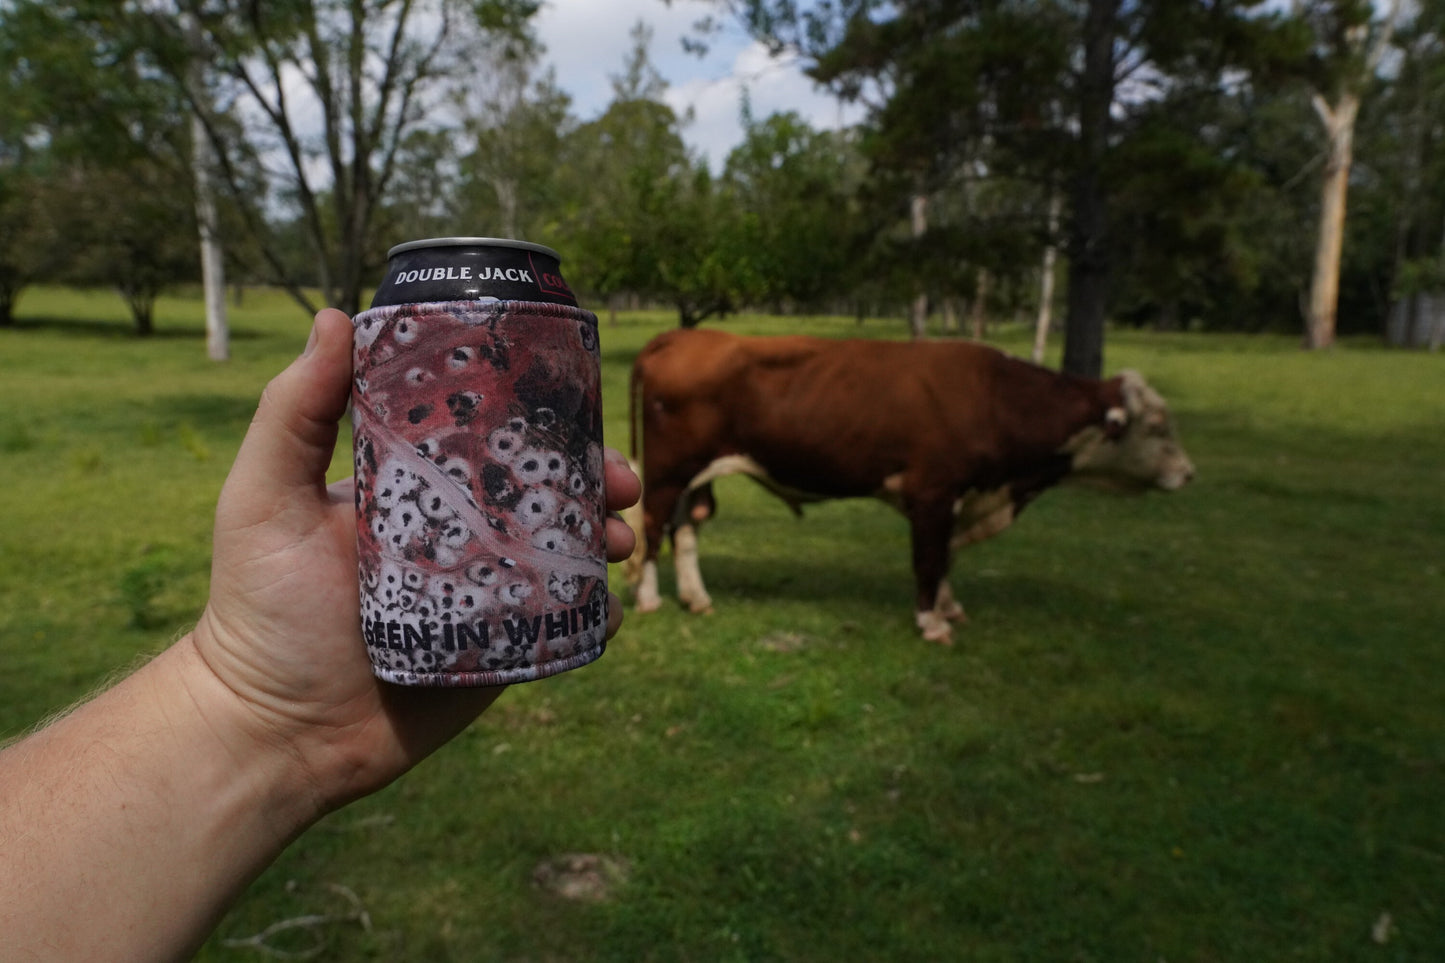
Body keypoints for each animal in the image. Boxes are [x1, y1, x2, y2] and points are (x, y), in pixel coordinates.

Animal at [624, 326, 1196, 642]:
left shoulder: (962, 497)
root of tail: (684, 336)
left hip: (694, 475)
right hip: (669, 471)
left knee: (685, 529)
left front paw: (950, 608)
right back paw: (651, 599)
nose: (1190, 473)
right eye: (1158, 426)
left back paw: (697, 598)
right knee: (652, 528)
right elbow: (928, 559)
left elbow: (946, 559)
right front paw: (932, 623)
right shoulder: (933, 494)